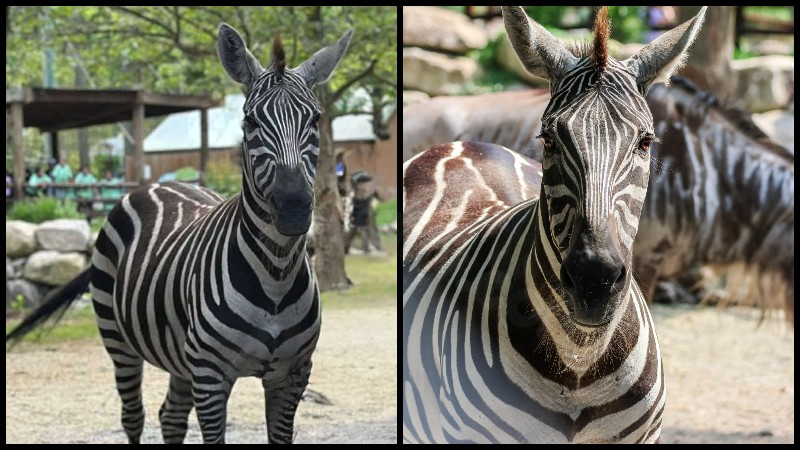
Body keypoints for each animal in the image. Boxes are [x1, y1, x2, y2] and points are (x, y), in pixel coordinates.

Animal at [6, 24, 353, 444]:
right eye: (250, 122)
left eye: (316, 120)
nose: (293, 208)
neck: (276, 274)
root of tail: (159, 184)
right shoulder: (210, 377)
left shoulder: (293, 375)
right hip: (118, 340)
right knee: (134, 416)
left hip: (178, 355)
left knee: (170, 417)